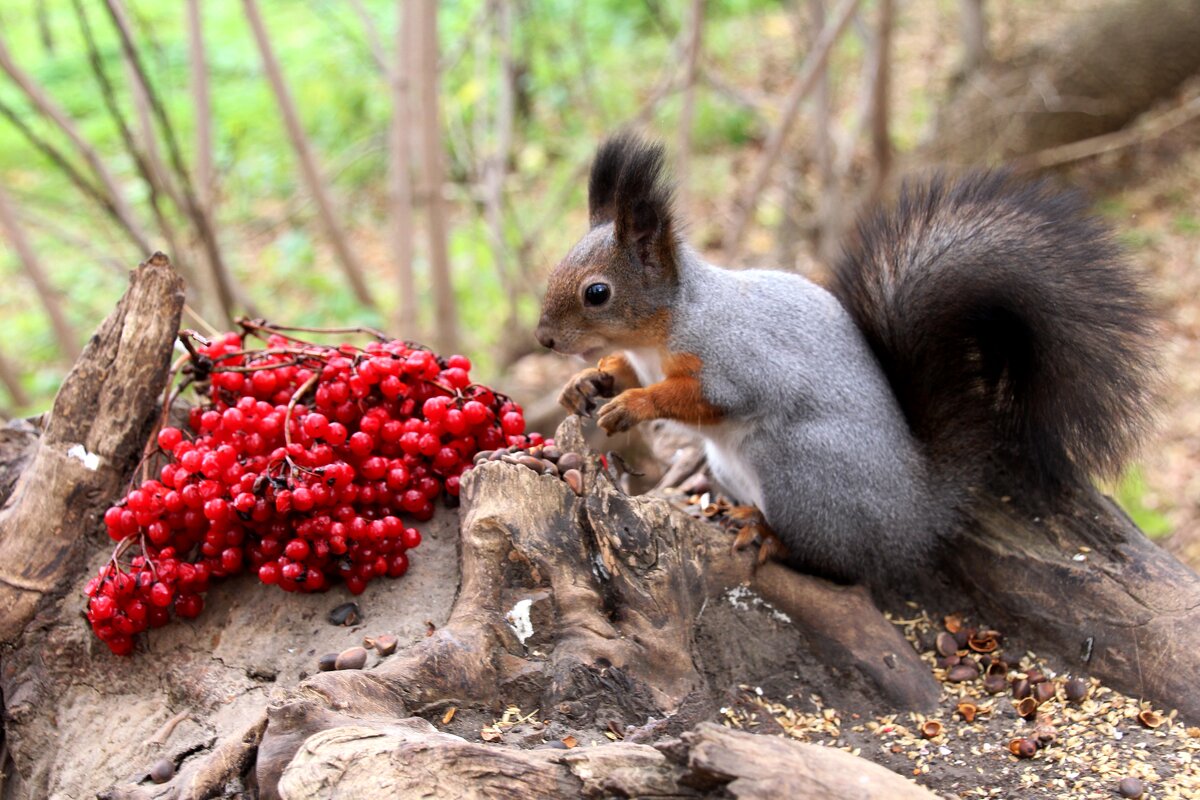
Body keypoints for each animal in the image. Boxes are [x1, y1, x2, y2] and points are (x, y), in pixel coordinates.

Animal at [532, 133, 1152, 587]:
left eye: (597, 293)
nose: (543, 339)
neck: (664, 328)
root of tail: (917, 517)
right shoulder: (645, 356)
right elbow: (621, 370)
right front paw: (587, 383)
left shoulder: (738, 360)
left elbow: (702, 396)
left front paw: (634, 404)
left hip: (798, 468)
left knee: (838, 562)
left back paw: (770, 534)